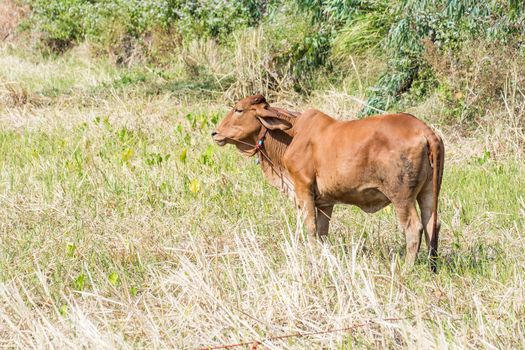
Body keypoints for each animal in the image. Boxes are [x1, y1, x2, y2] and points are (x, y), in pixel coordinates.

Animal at [211, 94, 444, 270]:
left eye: (239, 110)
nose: (215, 133)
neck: (292, 133)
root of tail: (425, 130)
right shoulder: (325, 201)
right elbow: (323, 232)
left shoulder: (303, 189)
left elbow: (311, 229)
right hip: (427, 192)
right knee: (432, 223)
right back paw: (432, 267)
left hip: (401, 196)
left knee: (413, 228)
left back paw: (407, 269)